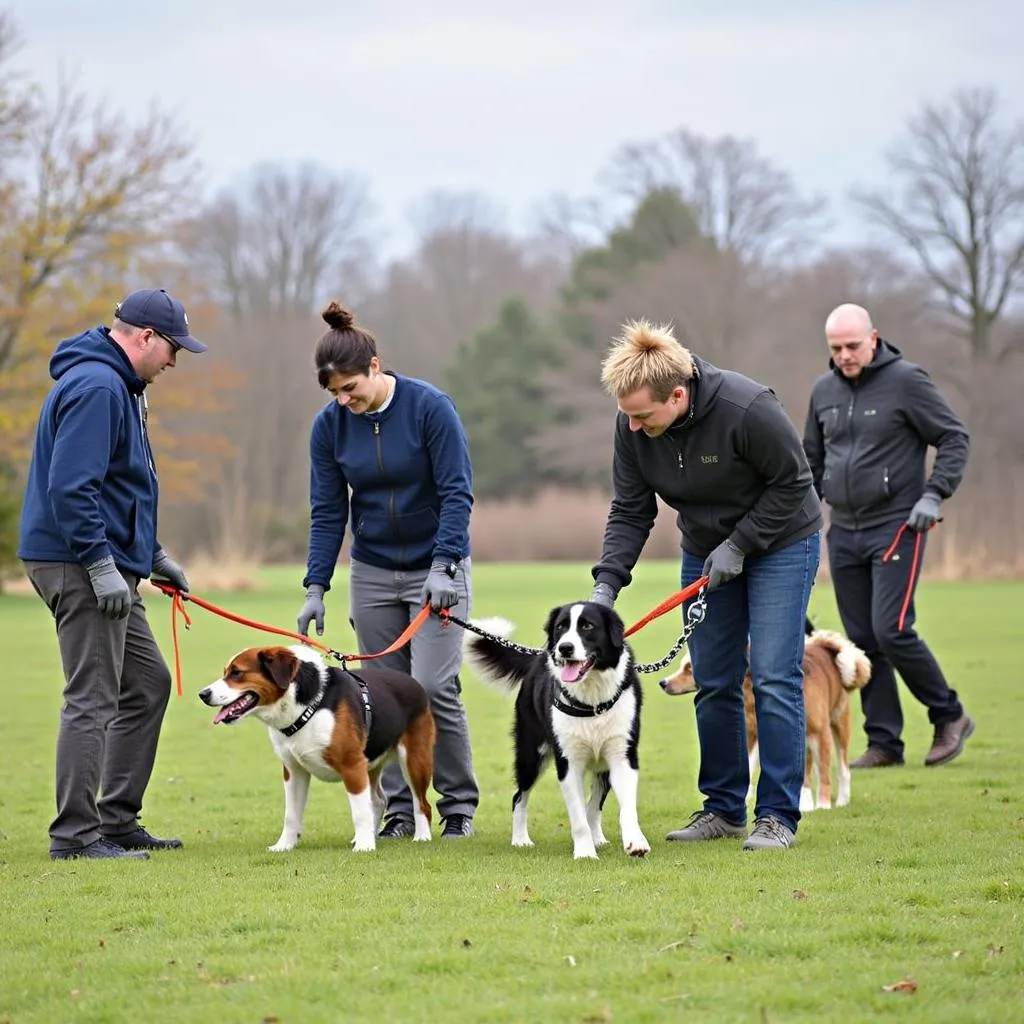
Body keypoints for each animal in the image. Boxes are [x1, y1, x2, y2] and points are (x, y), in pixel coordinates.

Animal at [199, 643, 436, 851]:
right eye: (226, 672)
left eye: (237, 673)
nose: (203, 694)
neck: (304, 706)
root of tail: (412, 682)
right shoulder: (293, 771)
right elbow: (291, 814)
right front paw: (284, 846)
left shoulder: (352, 765)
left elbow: (360, 812)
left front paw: (364, 847)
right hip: (372, 764)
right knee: (378, 801)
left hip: (414, 760)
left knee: (422, 804)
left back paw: (421, 836)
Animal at [659, 618, 868, 811]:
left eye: (689, 669)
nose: (663, 682)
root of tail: (825, 648)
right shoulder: (753, 735)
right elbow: (750, 766)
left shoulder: (820, 733)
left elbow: (823, 772)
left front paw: (824, 804)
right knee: (806, 770)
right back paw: (807, 804)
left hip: (837, 726)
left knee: (842, 768)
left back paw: (840, 800)